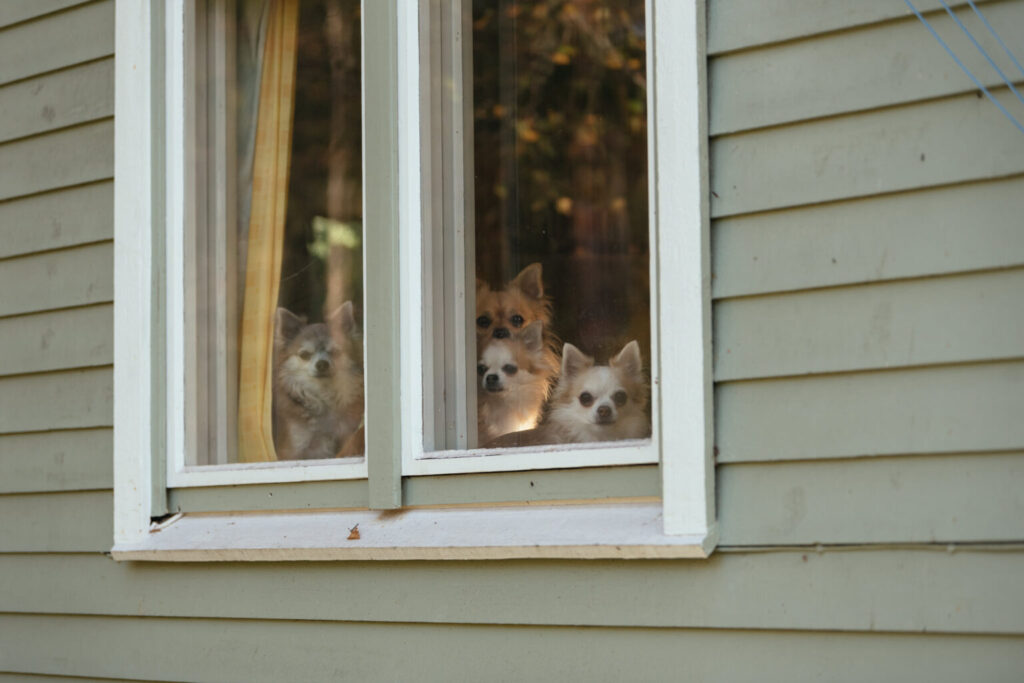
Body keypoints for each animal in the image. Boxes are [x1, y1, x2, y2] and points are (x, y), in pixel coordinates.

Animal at [274, 303, 366, 458]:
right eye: (304, 355)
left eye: (335, 352)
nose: (322, 364)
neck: (324, 394)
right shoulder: (294, 450)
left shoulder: (346, 435)